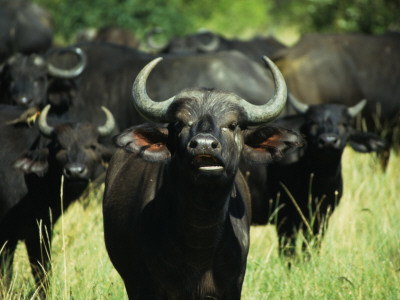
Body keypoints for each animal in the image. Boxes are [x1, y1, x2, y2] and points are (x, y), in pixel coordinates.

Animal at [245, 96, 386, 255]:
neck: (318, 182)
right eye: (312, 122)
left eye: (344, 123)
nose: (329, 141)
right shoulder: (284, 219)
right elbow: (288, 252)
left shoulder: (321, 218)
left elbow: (311, 247)